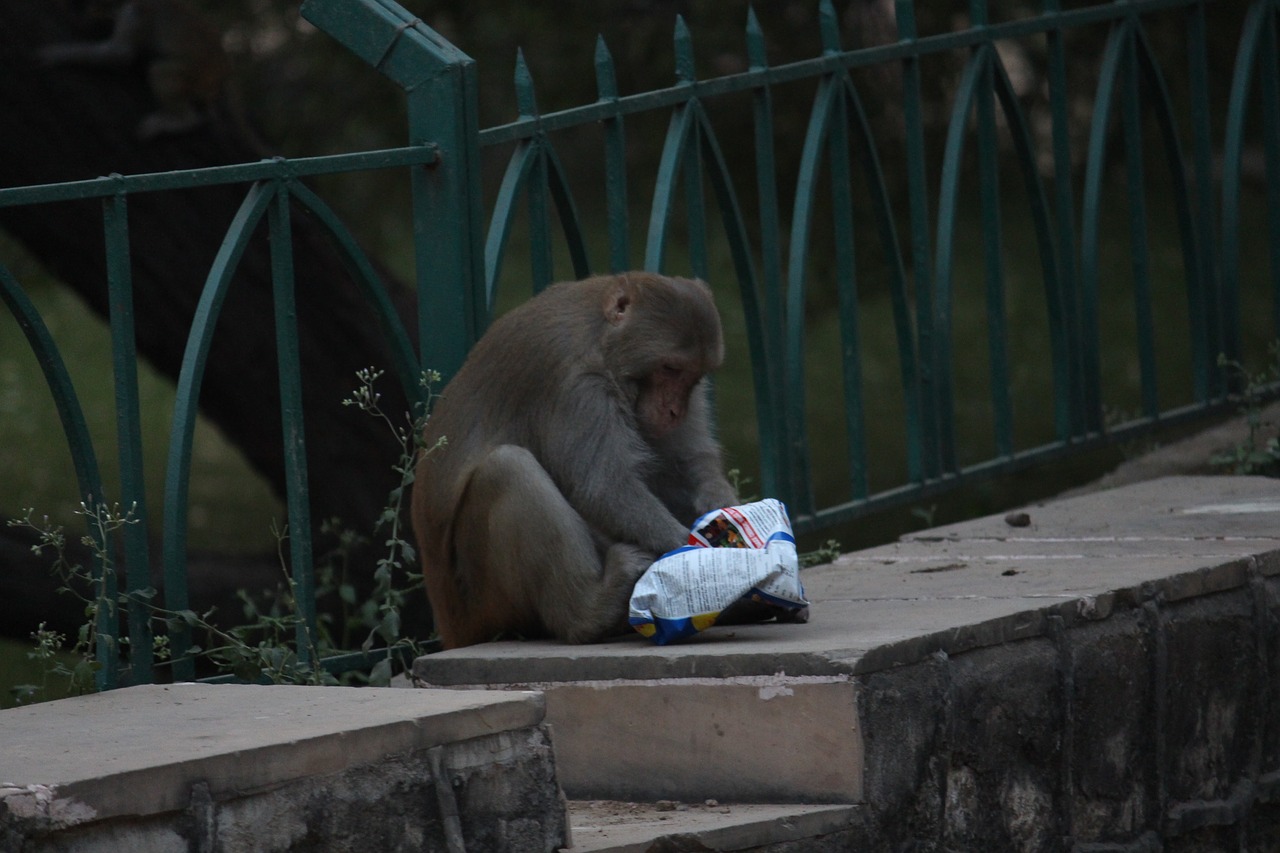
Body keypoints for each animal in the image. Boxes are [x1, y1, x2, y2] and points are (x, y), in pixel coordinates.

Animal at [39, 0, 235, 139]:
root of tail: (223, 71)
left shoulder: (135, 13)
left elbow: (119, 54)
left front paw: (59, 53)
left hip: (197, 73)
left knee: (160, 71)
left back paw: (181, 119)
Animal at [412, 270, 742, 645]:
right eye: (670, 368)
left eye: (693, 375)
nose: (674, 411)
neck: (601, 337)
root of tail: (451, 624)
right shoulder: (575, 383)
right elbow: (602, 488)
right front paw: (709, 558)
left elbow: (686, 461)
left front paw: (722, 507)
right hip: (482, 600)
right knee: (509, 468)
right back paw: (589, 614)